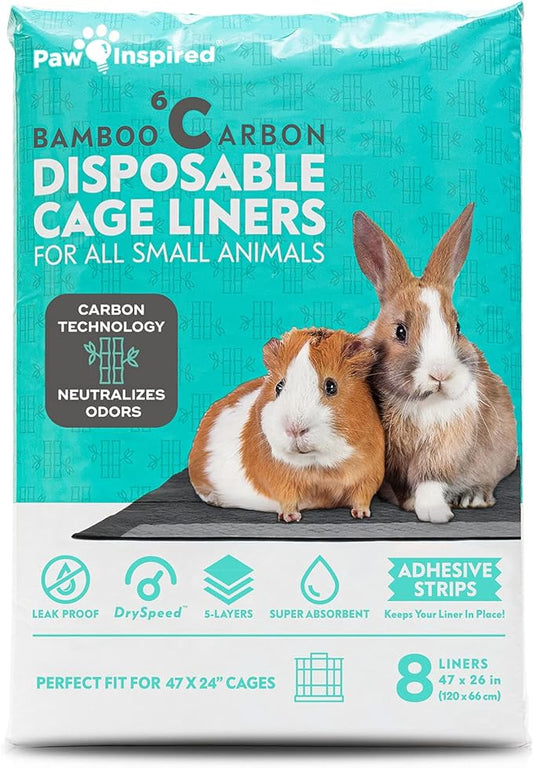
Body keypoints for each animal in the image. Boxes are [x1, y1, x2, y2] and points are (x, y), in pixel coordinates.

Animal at [189, 327, 385, 522]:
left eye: (331, 386)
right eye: (279, 386)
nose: (295, 429)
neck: (319, 465)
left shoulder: (369, 474)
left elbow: (362, 497)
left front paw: (361, 514)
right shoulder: (280, 480)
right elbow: (287, 498)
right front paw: (291, 517)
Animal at [352, 203, 517, 524]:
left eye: (458, 327)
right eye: (400, 331)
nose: (440, 374)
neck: (419, 404)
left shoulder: (443, 454)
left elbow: (431, 481)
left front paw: (434, 512)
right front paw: (405, 502)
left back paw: (474, 497)